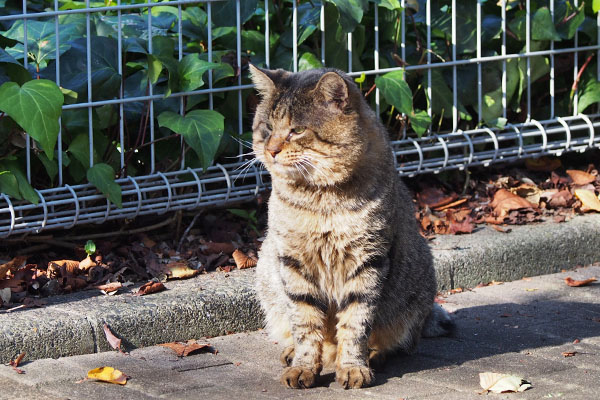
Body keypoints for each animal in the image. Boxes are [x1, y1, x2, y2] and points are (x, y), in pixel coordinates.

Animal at [250, 66, 454, 390]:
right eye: (267, 128)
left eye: (297, 130)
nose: (271, 150)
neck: (320, 198)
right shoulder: (293, 261)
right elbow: (305, 322)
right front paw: (304, 365)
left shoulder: (367, 260)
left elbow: (356, 322)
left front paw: (353, 366)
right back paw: (295, 352)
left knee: (400, 341)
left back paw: (373, 354)